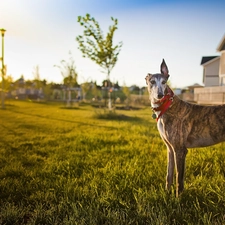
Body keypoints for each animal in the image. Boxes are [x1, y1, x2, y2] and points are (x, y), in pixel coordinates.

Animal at [146, 59, 225, 197]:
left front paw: (178, 199)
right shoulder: (170, 149)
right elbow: (169, 175)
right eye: (152, 81)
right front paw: (167, 194)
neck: (168, 106)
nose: (160, 95)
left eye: (164, 82)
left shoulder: (180, 150)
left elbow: (179, 178)